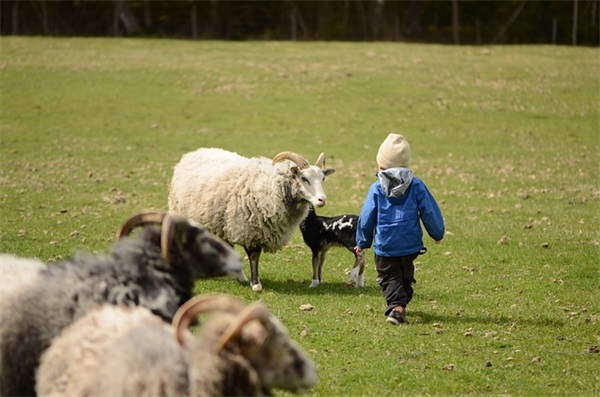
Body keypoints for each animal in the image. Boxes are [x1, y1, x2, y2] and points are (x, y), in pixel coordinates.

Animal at [169, 148, 336, 290]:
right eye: (304, 178)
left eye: (323, 179)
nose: (322, 200)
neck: (271, 187)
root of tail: (193, 153)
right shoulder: (249, 229)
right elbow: (254, 256)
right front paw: (255, 284)